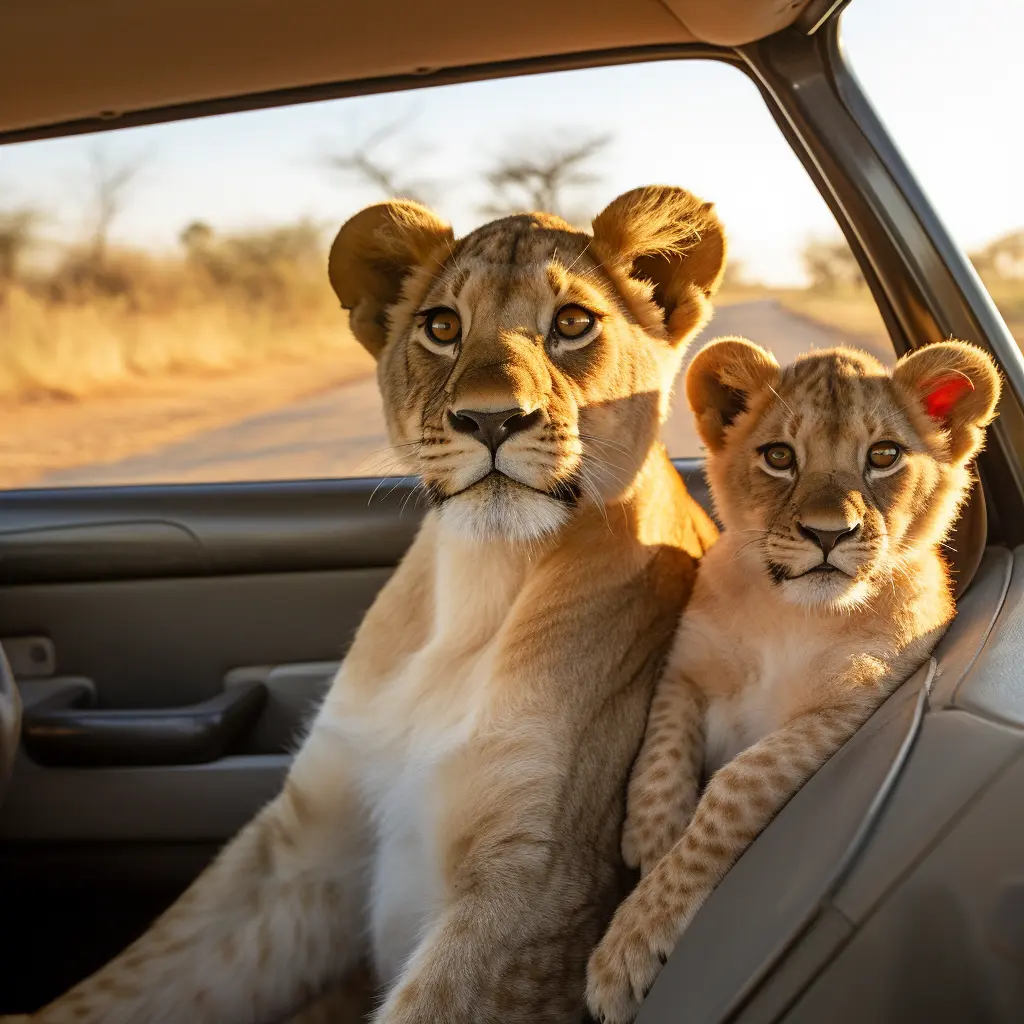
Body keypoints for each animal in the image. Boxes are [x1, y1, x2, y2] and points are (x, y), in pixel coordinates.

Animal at [15, 186, 723, 1024]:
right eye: (442, 328)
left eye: (574, 323)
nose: (490, 419)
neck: (482, 582)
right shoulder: (301, 852)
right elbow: (126, 984)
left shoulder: (534, 900)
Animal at [585, 338, 1002, 1023]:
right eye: (780, 457)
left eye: (883, 455)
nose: (828, 535)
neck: (794, 613)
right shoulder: (685, 671)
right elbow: (659, 761)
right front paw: (651, 844)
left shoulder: (848, 709)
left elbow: (735, 787)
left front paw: (629, 945)